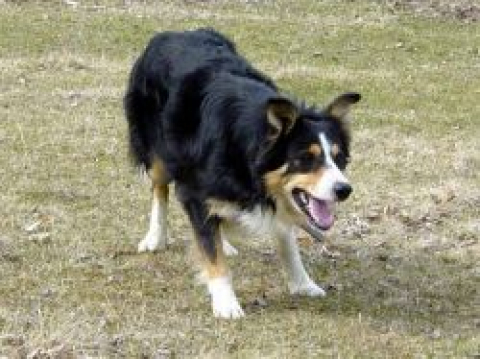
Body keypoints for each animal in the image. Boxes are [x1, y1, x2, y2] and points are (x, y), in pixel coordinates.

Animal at [124, 28, 360, 320]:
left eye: (338, 158)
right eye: (306, 158)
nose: (344, 190)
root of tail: (171, 33)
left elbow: (285, 239)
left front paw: (302, 283)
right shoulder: (194, 191)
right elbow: (211, 253)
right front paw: (225, 302)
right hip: (156, 149)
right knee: (159, 190)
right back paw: (155, 237)